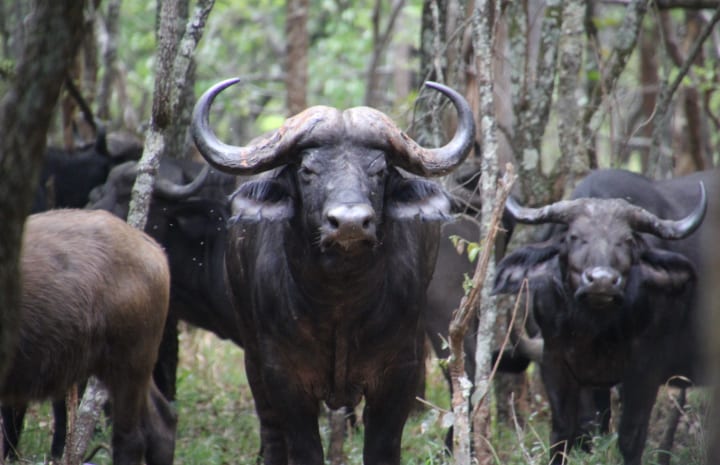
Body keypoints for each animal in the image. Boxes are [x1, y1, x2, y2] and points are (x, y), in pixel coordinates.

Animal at [190, 78, 475, 464]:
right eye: (307, 171)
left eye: (379, 171)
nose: (350, 223)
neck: (341, 301)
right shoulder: (283, 376)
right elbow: (304, 447)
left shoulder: (399, 374)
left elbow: (383, 447)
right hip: (251, 352)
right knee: (270, 428)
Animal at [492, 168, 715, 465]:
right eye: (574, 237)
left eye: (627, 240)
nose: (602, 281)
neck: (594, 329)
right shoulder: (555, 361)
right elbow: (564, 432)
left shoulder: (646, 368)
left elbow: (630, 437)